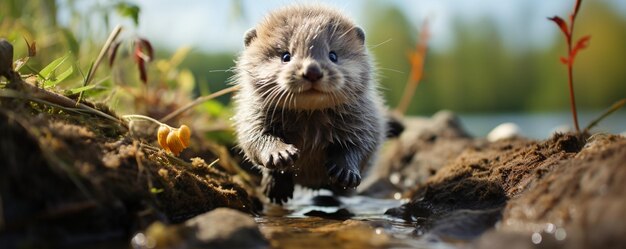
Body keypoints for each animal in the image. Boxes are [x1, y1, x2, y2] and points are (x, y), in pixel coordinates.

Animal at [230, 5, 382, 204]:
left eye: (333, 55)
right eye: (286, 56)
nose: (312, 70)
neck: (310, 126)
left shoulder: (365, 118)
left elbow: (363, 144)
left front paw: (346, 172)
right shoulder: (253, 115)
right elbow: (254, 138)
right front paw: (281, 154)